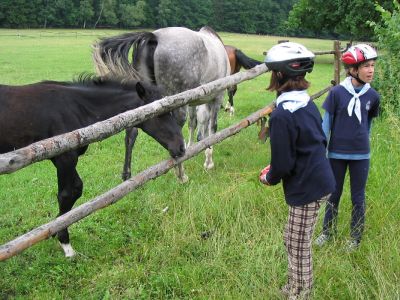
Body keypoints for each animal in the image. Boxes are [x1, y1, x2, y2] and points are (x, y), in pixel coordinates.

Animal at [93, 26, 231, 183]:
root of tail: (154, 37)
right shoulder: (217, 98)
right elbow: (212, 128)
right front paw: (208, 161)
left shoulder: (193, 101)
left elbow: (193, 124)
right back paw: (181, 174)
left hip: (143, 100)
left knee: (131, 133)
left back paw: (127, 175)